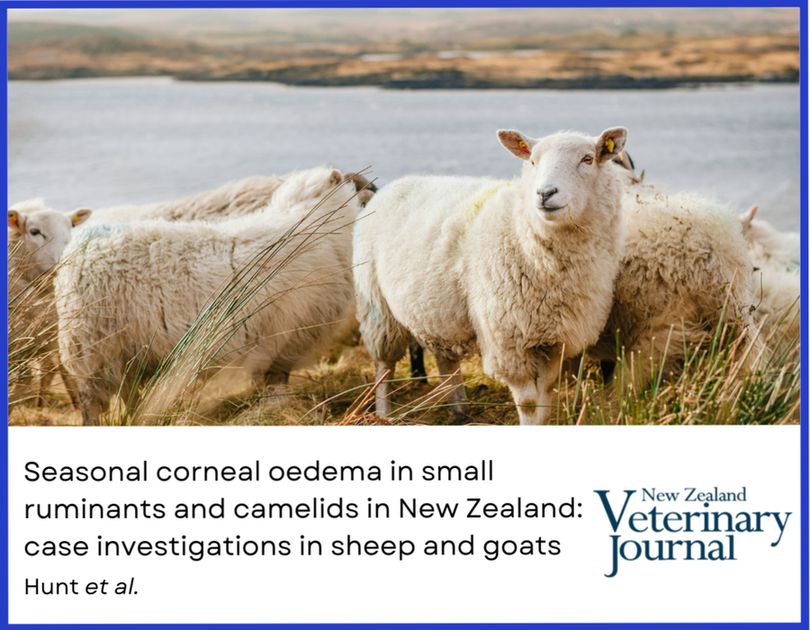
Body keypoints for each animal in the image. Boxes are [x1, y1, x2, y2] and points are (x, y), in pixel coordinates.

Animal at [55, 166, 361, 425]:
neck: (311, 222)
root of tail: (76, 253)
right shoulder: (284, 339)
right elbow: (276, 383)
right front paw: (278, 410)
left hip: (124, 354)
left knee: (129, 397)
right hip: (93, 349)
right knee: (91, 405)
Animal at [354, 127, 628, 424]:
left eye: (587, 159)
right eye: (532, 161)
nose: (545, 193)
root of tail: (393, 186)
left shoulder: (554, 340)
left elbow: (545, 395)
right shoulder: (508, 341)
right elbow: (529, 403)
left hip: (436, 311)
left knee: (445, 359)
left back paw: (460, 411)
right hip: (377, 306)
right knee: (384, 366)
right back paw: (383, 413)